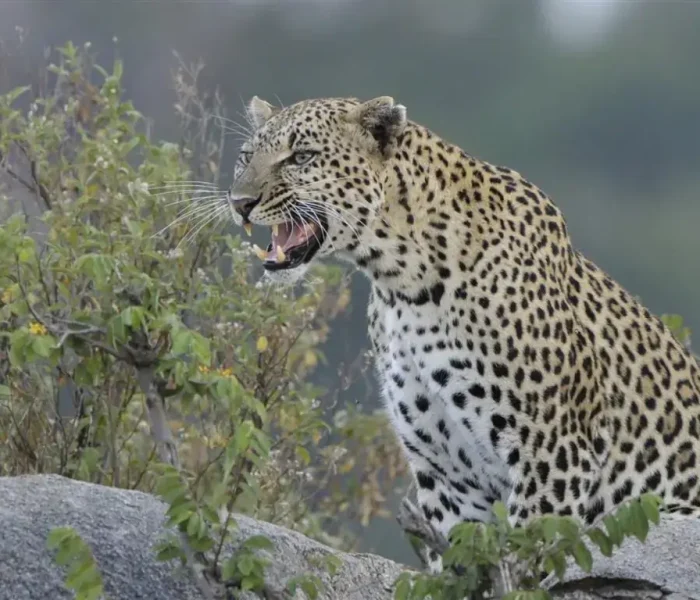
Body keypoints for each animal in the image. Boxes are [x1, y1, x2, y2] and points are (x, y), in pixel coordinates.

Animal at [224, 95, 700, 572]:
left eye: (301, 157)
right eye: (246, 156)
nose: (240, 202)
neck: (403, 283)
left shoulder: (554, 456)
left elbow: (528, 561)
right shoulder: (447, 476)